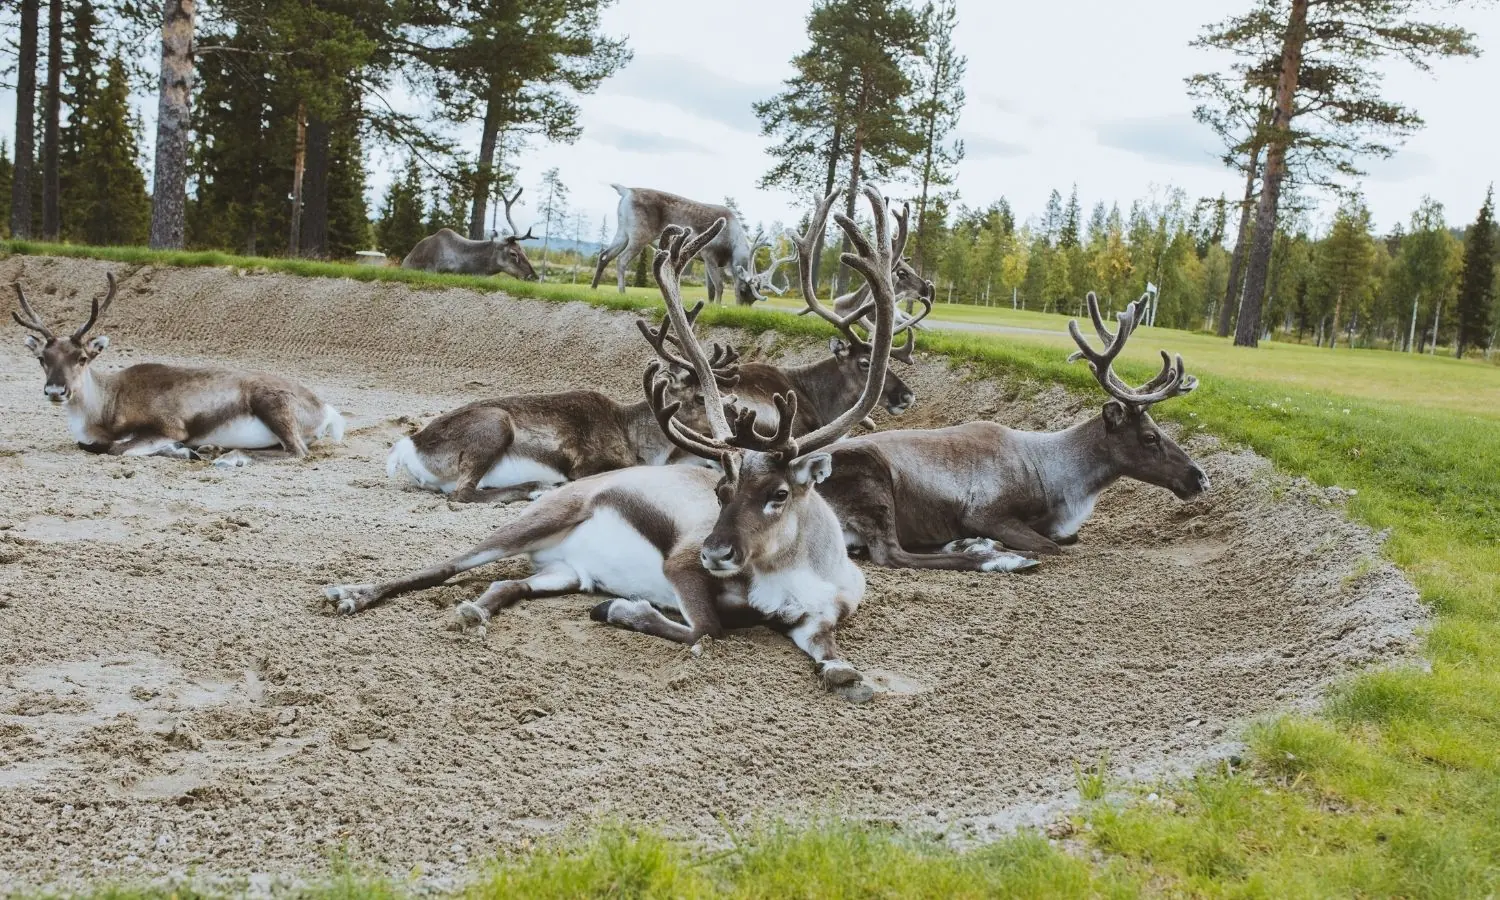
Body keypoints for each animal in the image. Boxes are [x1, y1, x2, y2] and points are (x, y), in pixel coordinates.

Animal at [12, 273, 344, 463]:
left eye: (81, 358)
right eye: (42, 358)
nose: (56, 390)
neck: (104, 409)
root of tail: (326, 410)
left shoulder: (170, 426)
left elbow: (115, 449)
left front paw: (183, 451)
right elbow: (91, 445)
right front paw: (184, 451)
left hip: (272, 404)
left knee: (296, 452)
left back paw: (226, 456)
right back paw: (212, 450)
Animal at [386, 305, 736, 503]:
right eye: (702, 397)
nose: (734, 429)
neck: (636, 436)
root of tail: (409, 445)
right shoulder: (590, 464)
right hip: (495, 424)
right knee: (462, 494)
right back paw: (538, 487)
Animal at [592, 185, 774, 306]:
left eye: (753, 299)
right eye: (743, 290)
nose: (741, 309)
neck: (730, 250)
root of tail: (625, 191)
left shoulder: (705, 260)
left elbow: (710, 288)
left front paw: (710, 306)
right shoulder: (709, 254)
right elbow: (719, 285)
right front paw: (717, 306)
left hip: (623, 231)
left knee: (604, 255)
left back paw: (593, 287)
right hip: (639, 234)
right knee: (621, 260)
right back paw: (622, 292)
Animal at [814, 292, 1211, 573]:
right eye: (1149, 437)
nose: (1200, 478)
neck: (1061, 480)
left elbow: (1067, 539)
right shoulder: (983, 511)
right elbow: (1050, 545)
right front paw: (994, 546)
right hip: (871, 478)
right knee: (892, 554)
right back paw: (994, 557)